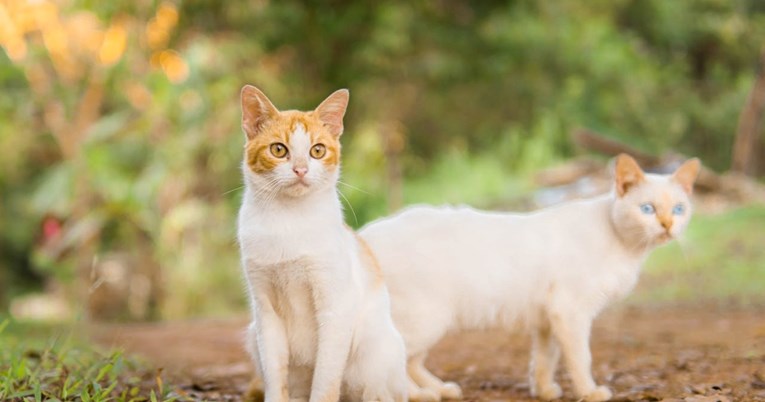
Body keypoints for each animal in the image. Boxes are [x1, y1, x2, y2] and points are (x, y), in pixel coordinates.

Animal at [237, 85, 408, 402]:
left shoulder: (336, 306)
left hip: (374, 352)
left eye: (317, 150)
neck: (289, 220)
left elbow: (326, 377)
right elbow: (275, 375)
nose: (301, 169)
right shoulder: (265, 311)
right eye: (278, 149)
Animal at [362, 155, 700, 402]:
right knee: (397, 358)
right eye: (648, 209)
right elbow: (581, 359)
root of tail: (367, 231)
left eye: (678, 209)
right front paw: (589, 392)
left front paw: (545, 391)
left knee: (411, 361)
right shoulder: (571, 313)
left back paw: (439, 389)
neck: (626, 247)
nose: (668, 225)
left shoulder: (548, 321)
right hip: (427, 320)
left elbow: (544, 361)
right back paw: (418, 394)